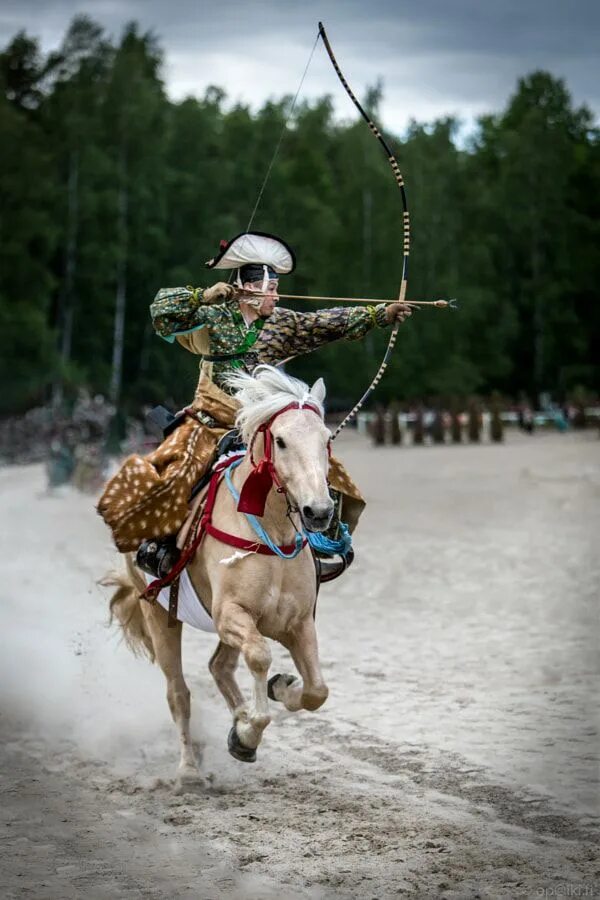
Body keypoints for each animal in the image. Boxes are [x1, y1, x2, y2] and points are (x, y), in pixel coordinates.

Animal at [105, 366, 336, 788]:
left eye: (326, 438)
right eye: (280, 440)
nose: (318, 511)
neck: (270, 529)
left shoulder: (296, 622)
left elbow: (316, 690)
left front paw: (277, 692)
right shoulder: (231, 613)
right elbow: (260, 657)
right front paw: (248, 731)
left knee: (219, 666)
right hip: (159, 616)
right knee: (178, 692)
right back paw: (189, 770)